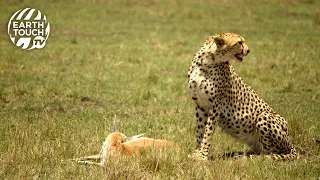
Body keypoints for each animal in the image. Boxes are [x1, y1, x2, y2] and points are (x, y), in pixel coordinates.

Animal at [188, 32, 298, 160]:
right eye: (239, 42)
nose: (248, 50)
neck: (206, 62)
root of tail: (292, 144)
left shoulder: (215, 107)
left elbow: (208, 133)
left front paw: (203, 156)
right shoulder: (200, 105)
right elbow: (200, 131)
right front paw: (197, 152)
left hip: (264, 116)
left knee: (269, 153)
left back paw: (248, 157)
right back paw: (239, 154)